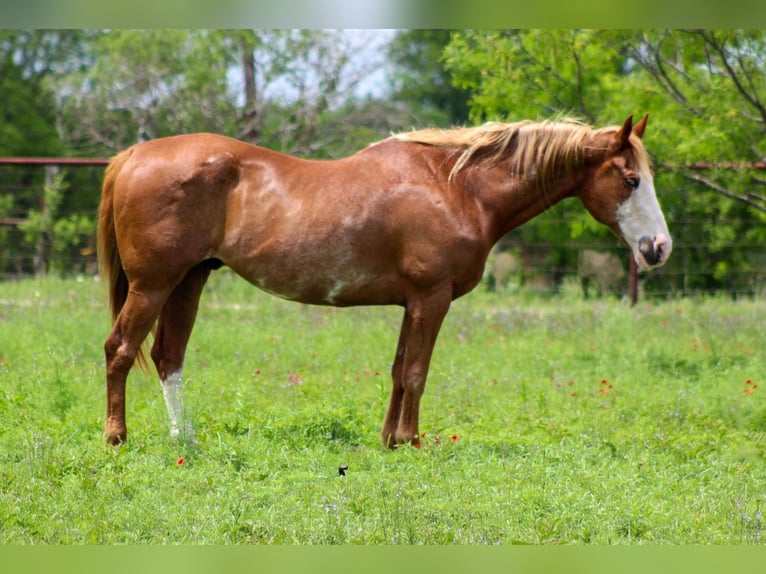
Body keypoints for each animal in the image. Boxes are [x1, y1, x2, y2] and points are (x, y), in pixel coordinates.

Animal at [97, 114, 671, 448]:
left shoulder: (410, 303)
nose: (658, 248)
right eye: (630, 179)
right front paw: (411, 442)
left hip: (188, 281)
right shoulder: (432, 299)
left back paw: (184, 440)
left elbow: (398, 371)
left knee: (169, 358)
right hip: (154, 284)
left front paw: (390, 440)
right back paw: (117, 438)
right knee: (120, 350)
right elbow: (416, 372)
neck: (456, 186)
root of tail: (133, 154)